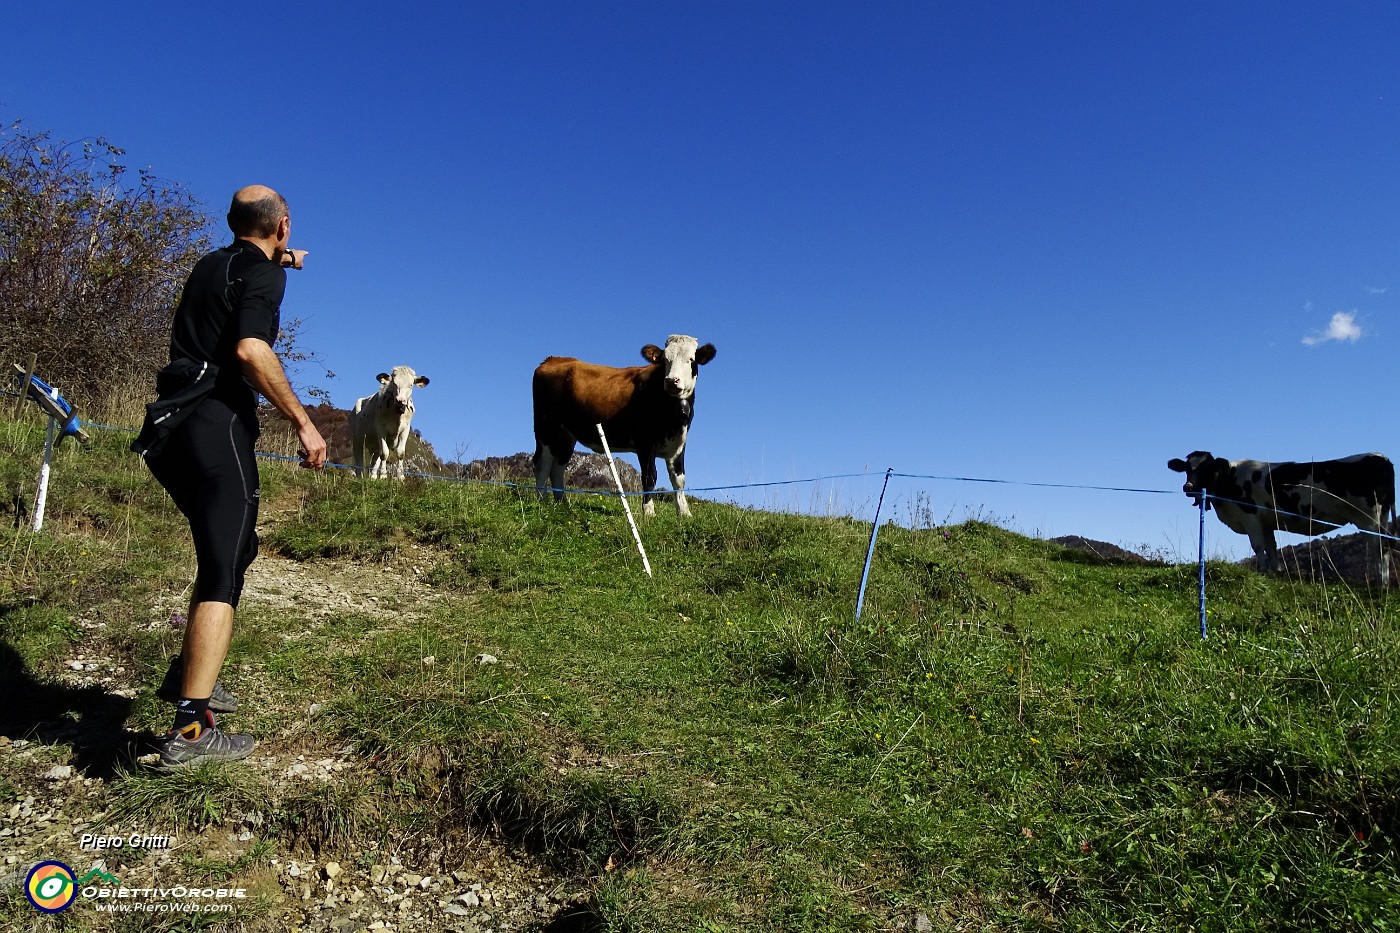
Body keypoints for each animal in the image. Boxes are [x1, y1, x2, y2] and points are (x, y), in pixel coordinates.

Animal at [529, 332, 716, 515]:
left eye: (691, 359)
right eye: (665, 360)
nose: (671, 380)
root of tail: (553, 359)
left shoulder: (679, 441)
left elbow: (678, 478)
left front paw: (684, 513)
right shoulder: (644, 441)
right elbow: (650, 476)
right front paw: (649, 512)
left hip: (566, 434)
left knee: (558, 466)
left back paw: (562, 503)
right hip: (546, 425)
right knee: (542, 461)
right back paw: (542, 500)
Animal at [1170, 448, 1388, 582]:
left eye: (1206, 468)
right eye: (1187, 468)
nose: (1188, 487)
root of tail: (1380, 457)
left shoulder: (1250, 517)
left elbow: (1258, 546)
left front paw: (1262, 570)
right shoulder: (1265, 522)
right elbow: (1271, 547)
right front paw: (1275, 572)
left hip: (1368, 519)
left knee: (1379, 548)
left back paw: (1382, 584)